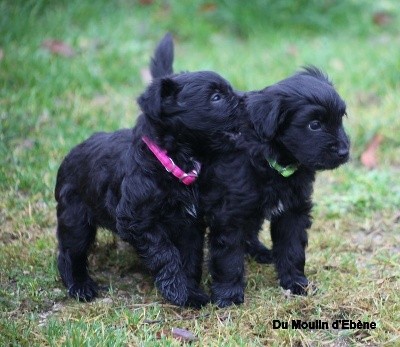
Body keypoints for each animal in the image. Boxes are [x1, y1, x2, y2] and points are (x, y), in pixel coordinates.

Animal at [54, 35, 242, 308]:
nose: (247, 100)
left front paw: (189, 290)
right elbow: (166, 254)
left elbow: (189, 257)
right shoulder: (137, 222)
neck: (171, 161)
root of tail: (72, 152)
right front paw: (180, 292)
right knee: (69, 252)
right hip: (74, 217)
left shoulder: (190, 224)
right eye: (216, 97)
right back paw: (79, 285)